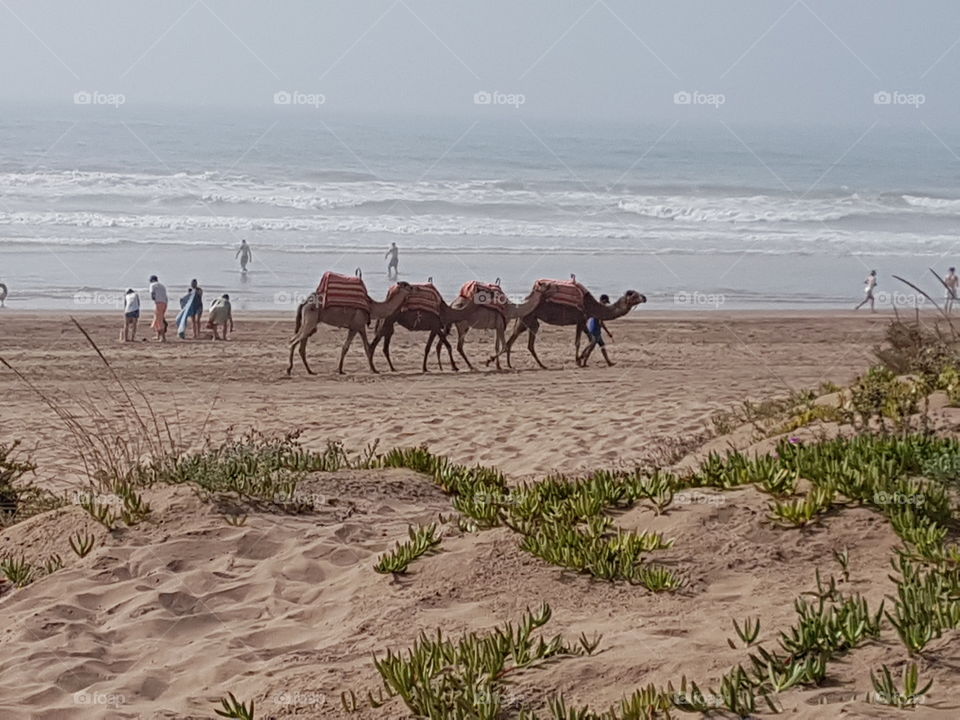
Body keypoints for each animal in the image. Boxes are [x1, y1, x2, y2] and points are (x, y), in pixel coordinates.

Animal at [284, 282, 420, 374]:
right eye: (408, 286)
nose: (417, 287)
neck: (371, 307)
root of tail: (304, 303)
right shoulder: (358, 326)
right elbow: (362, 347)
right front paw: (374, 369)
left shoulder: (356, 327)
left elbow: (351, 347)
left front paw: (341, 370)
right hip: (310, 320)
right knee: (293, 341)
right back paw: (289, 369)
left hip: (310, 322)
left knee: (301, 345)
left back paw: (310, 371)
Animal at [496, 286, 644, 368]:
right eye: (634, 295)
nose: (644, 297)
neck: (593, 306)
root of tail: (522, 302)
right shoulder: (581, 319)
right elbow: (578, 342)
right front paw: (579, 360)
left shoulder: (583, 321)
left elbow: (592, 339)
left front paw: (582, 359)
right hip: (526, 318)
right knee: (514, 340)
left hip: (532, 321)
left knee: (526, 343)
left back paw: (535, 365)